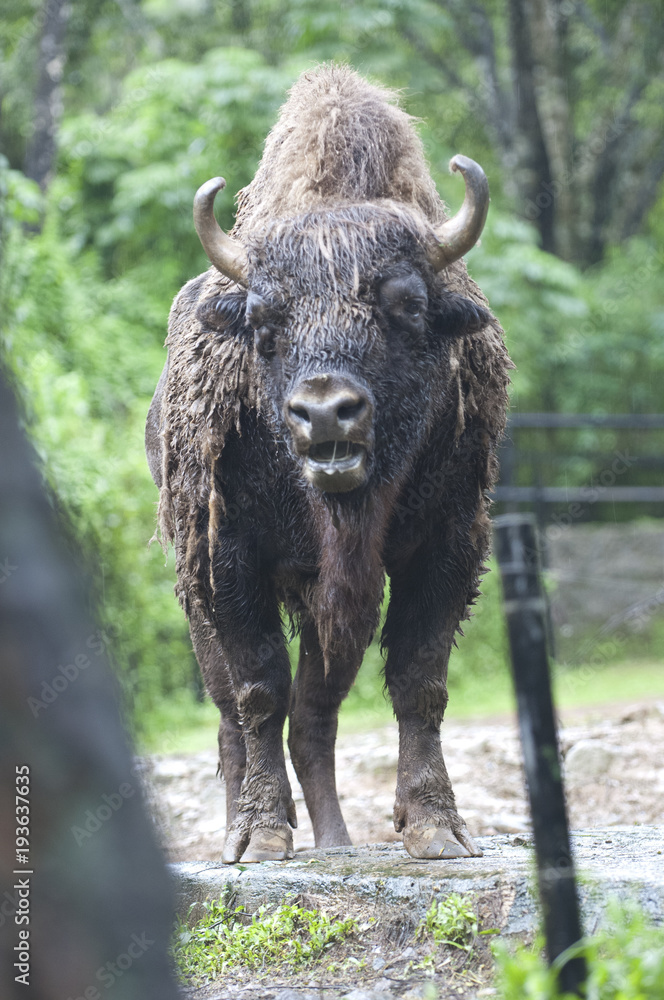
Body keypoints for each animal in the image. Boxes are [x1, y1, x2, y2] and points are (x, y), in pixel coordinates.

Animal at [146, 64, 512, 864]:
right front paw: (260, 837)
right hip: (197, 594)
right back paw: (244, 830)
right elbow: (258, 693)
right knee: (235, 720)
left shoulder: (444, 547)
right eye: (263, 320)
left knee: (315, 719)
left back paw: (338, 842)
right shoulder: (230, 561)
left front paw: (437, 827)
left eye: (405, 304)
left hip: (332, 608)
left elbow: (418, 682)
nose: (323, 411)